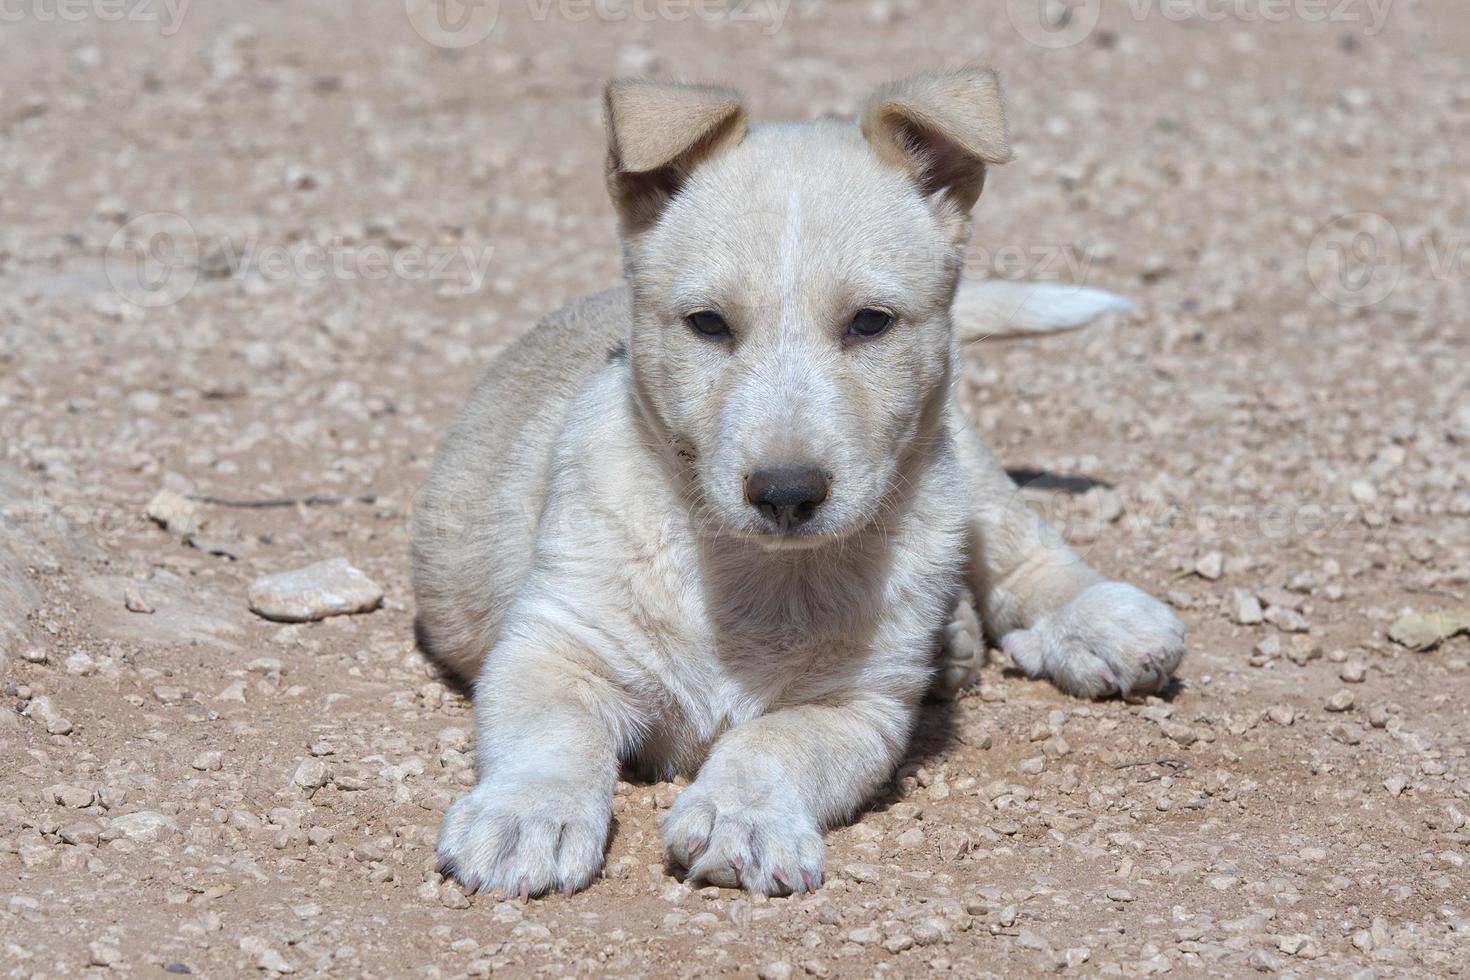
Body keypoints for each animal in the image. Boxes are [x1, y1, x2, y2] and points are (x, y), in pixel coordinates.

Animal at [411, 69, 1181, 899]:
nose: (786, 493)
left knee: (1023, 549)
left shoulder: (858, 706)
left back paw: (1100, 623)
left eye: (871, 322)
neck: (754, 573)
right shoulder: (553, 645)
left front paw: (741, 819)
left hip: (961, 465)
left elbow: (774, 741)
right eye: (707, 324)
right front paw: (525, 815)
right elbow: (549, 735)